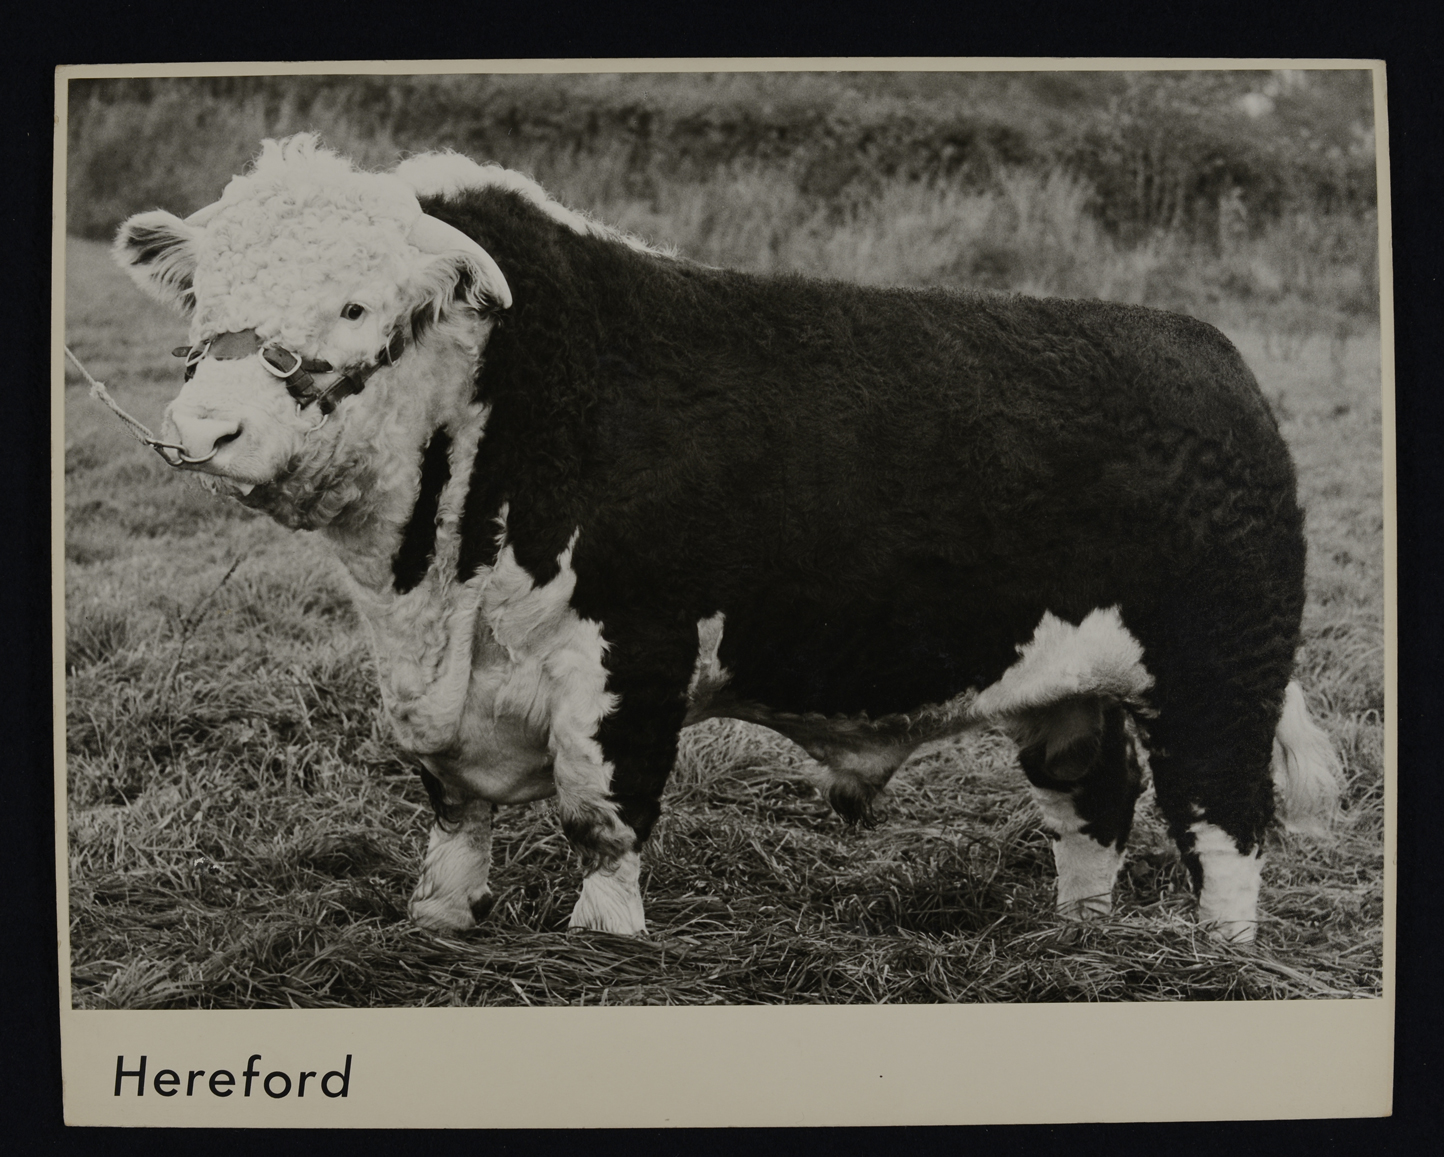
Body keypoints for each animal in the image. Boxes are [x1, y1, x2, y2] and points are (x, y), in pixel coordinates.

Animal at [115, 137, 1340, 947]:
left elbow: (601, 811)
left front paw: (603, 941)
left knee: (1222, 818)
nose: (204, 428)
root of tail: (1205, 351)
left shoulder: (628, 653)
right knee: (1092, 799)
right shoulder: (437, 689)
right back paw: (1077, 938)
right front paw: (439, 918)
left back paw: (1218, 957)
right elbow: (454, 813)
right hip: (1066, 687)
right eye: (201, 299)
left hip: (1219, 668)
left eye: (359, 307)